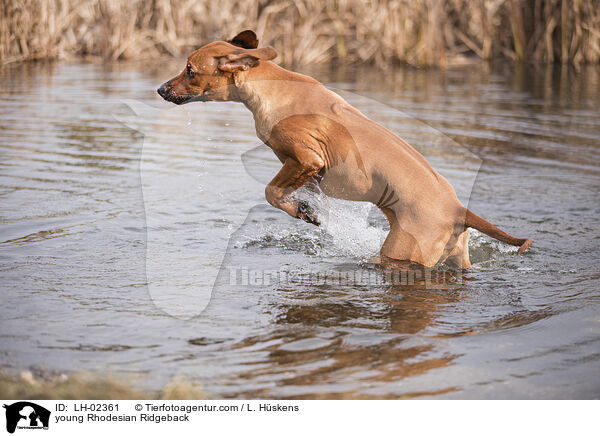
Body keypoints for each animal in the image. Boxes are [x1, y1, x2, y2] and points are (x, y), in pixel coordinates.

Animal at [157, 29, 532, 268]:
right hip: (456, 258)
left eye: (190, 71)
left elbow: (271, 192)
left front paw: (303, 211)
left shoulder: (307, 158)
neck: (271, 86)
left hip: (400, 253)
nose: (160, 89)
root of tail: (458, 209)